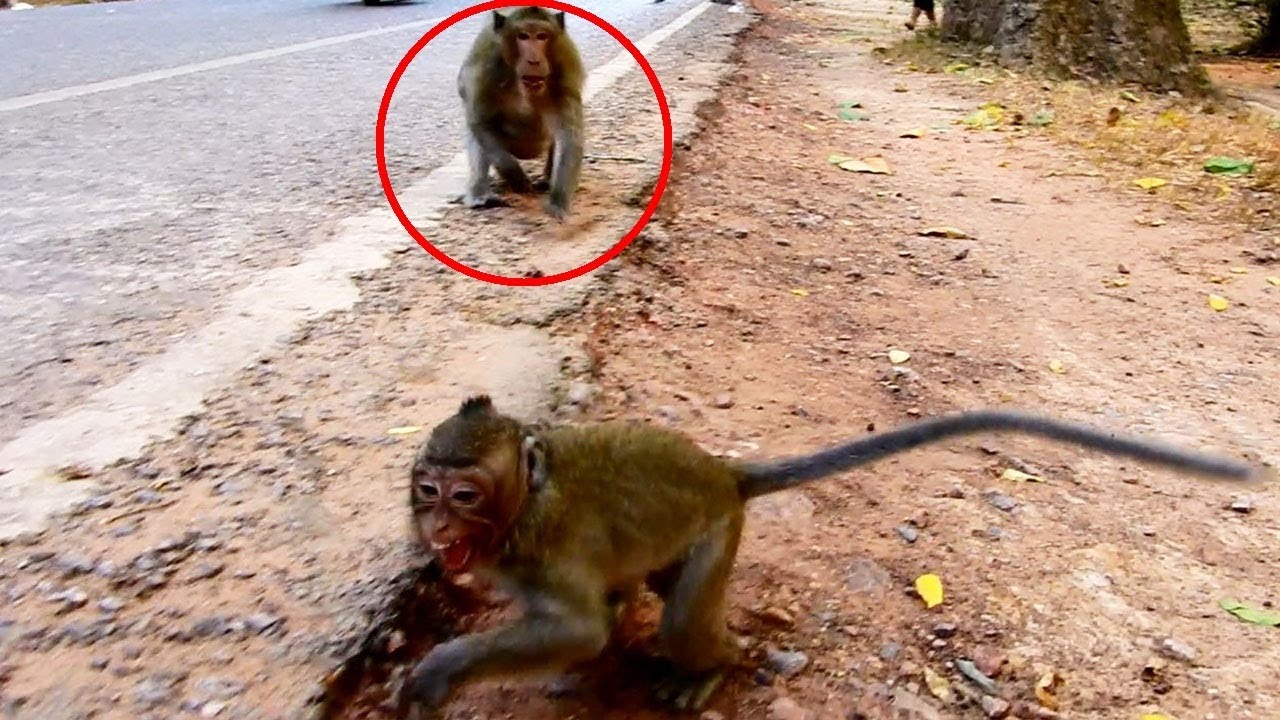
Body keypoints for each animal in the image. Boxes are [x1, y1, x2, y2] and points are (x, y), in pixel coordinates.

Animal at [399, 396, 1268, 717]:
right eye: (427, 488)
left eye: (465, 494)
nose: (436, 525)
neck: (522, 504)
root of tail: (724, 472)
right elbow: (583, 627)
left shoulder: (546, 551)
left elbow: (577, 628)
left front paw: (437, 674)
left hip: (718, 532)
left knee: (685, 622)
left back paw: (713, 666)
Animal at [456, 7, 586, 220]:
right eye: (523, 36)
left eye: (541, 36)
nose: (534, 60)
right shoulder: (484, 66)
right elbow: (479, 122)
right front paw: (515, 175)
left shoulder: (565, 69)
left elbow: (568, 137)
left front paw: (557, 202)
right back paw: (481, 196)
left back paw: (546, 180)